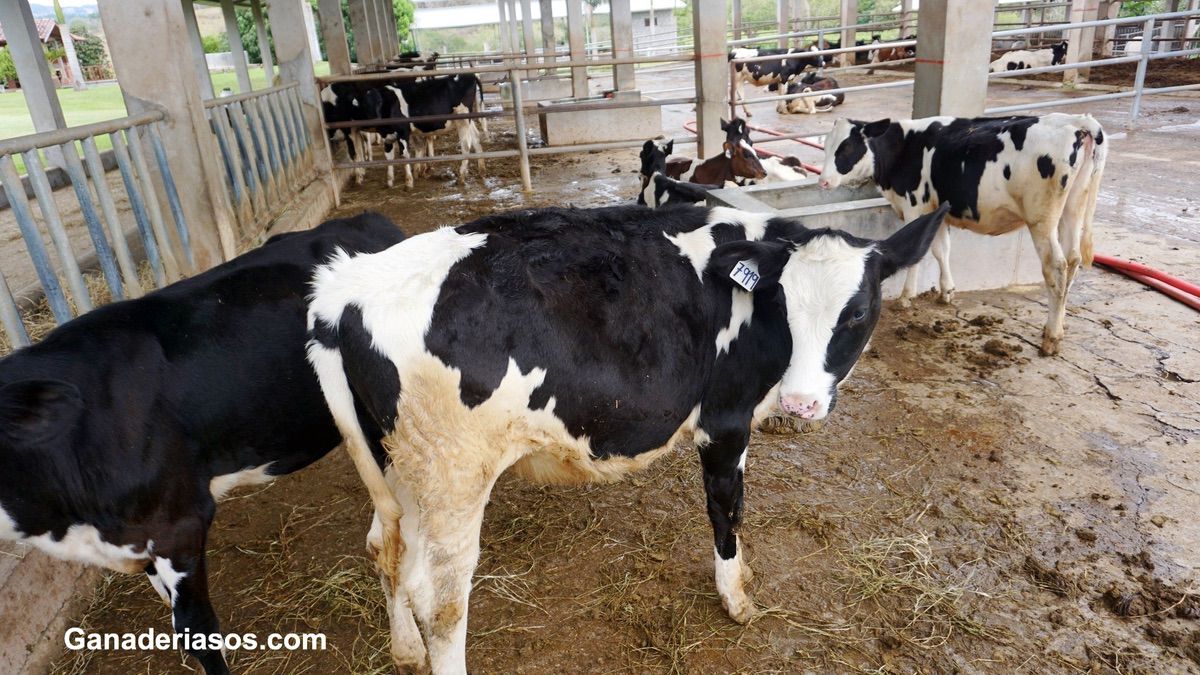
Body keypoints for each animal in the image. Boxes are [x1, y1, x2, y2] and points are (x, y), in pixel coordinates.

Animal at [312, 200, 955, 672]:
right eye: (785, 305)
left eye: (857, 313)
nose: (801, 402)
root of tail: (347, 287)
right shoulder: (725, 419)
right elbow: (726, 509)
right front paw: (735, 597)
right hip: (454, 474)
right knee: (441, 600)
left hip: (399, 463)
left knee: (386, 545)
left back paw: (405, 649)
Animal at [816, 114, 1104, 357]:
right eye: (827, 146)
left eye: (846, 148)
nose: (823, 181)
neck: (904, 146)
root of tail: (1077, 122)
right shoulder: (937, 210)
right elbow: (941, 249)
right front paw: (947, 292)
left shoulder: (915, 206)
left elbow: (917, 257)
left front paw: (906, 297)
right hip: (1073, 207)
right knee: (1073, 261)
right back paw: (1058, 323)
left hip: (1042, 217)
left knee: (1056, 267)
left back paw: (1051, 337)